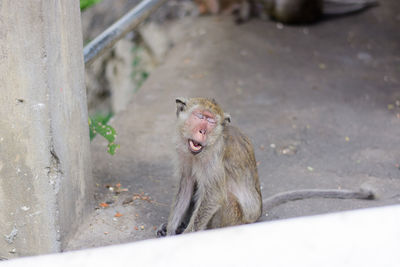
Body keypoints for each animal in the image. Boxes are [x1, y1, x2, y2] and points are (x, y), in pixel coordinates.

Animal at [155, 98, 372, 239]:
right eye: (200, 116)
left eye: (211, 121)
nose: (202, 131)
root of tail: (257, 213)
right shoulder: (183, 153)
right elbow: (186, 186)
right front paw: (172, 229)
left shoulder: (214, 156)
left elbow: (214, 194)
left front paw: (186, 236)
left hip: (236, 218)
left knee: (224, 197)